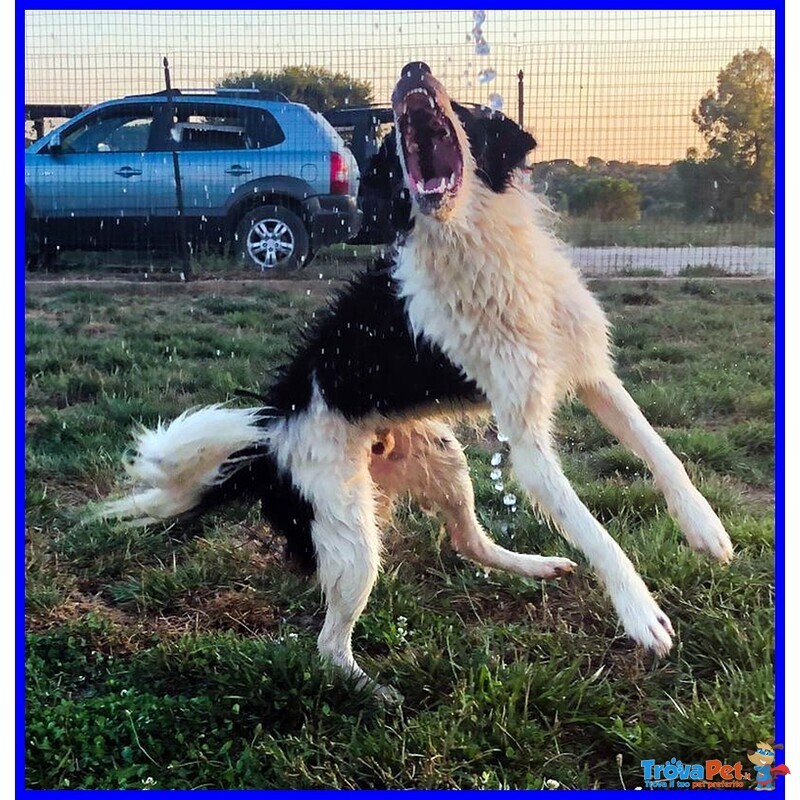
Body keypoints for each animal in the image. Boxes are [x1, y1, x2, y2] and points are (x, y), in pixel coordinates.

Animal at [97, 62, 736, 700]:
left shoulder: (592, 375)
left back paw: (538, 565)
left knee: (468, 541)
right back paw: (375, 693)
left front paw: (705, 530)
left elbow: (661, 451)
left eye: (469, 110)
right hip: (351, 539)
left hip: (443, 460)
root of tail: (269, 435)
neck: (475, 245)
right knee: (329, 644)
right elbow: (594, 528)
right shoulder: (528, 443)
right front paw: (640, 611)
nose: (412, 69)